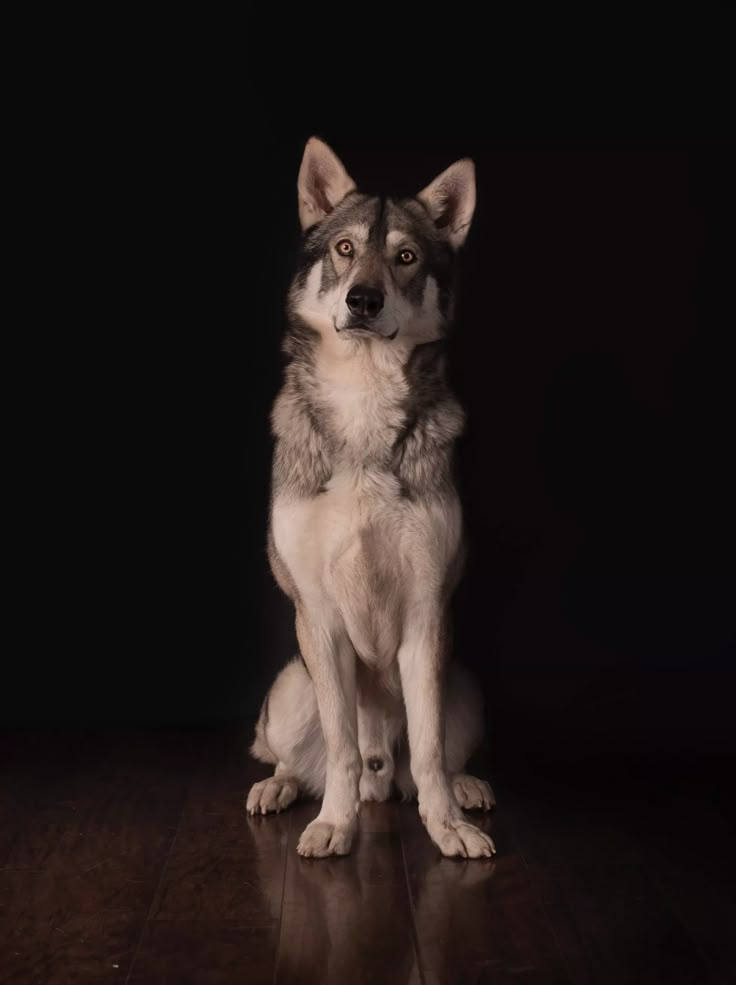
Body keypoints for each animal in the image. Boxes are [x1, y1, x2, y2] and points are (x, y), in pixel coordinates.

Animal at [247, 136, 494, 852]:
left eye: (406, 257)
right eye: (345, 248)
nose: (363, 299)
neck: (363, 397)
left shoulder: (427, 614)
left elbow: (432, 747)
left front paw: (447, 828)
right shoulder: (319, 618)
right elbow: (341, 747)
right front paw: (335, 824)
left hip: (465, 682)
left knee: (430, 760)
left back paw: (465, 789)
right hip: (290, 685)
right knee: (303, 757)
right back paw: (281, 787)